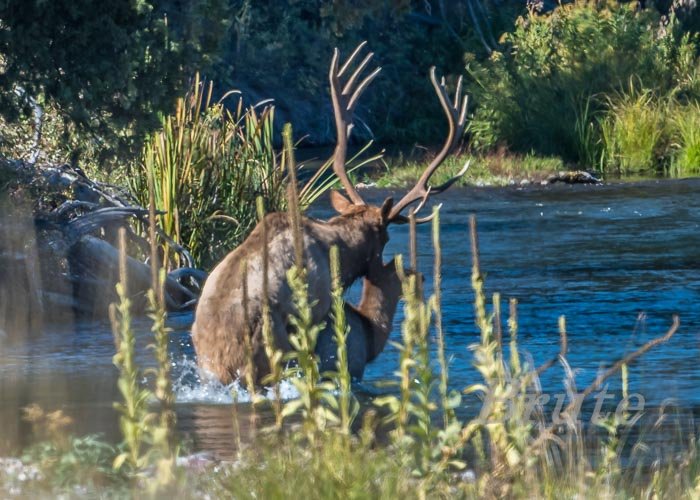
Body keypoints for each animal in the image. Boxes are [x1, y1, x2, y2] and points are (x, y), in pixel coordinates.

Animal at [190, 44, 470, 386]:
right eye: (385, 236)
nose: (380, 265)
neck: (338, 250)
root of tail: (223, 361)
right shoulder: (317, 307)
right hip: (272, 348)